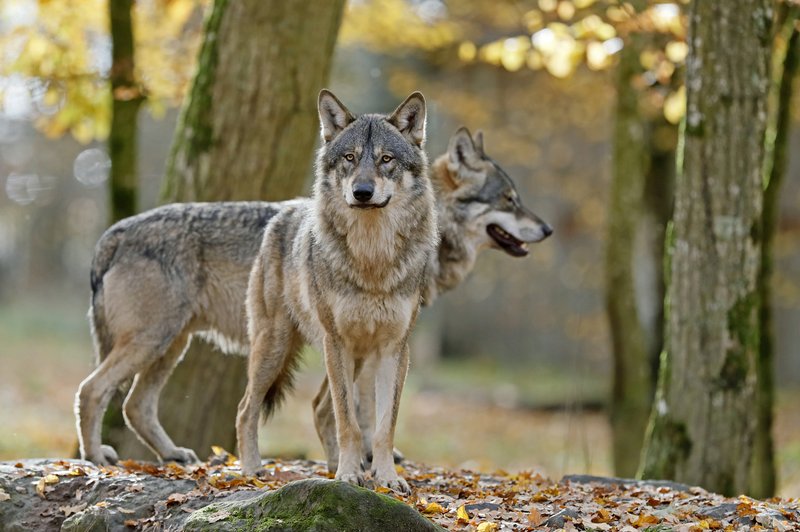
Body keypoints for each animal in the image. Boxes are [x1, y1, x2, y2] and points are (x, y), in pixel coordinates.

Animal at [73, 121, 552, 470]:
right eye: (510, 200)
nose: (547, 228)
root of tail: (111, 234)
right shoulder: (345, 340)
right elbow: (348, 409)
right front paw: (358, 463)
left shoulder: (371, 341)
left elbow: (355, 408)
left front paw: (364, 462)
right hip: (162, 341)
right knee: (92, 390)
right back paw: (97, 458)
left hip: (172, 346)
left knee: (135, 405)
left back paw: (173, 455)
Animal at [234, 89, 440, 492]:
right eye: (350, 158)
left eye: (386, 159)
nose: (362, 192)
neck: (372, 259)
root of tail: (285, 209)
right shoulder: (337, 341)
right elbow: (349, 422)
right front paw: (347, 476)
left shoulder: (394, 349)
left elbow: (383, 427)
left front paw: (385, 478)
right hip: (276, 348)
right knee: (246, 408)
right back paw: (252, 469)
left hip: (354, 359)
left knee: (318, 407)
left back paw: (337, 466)